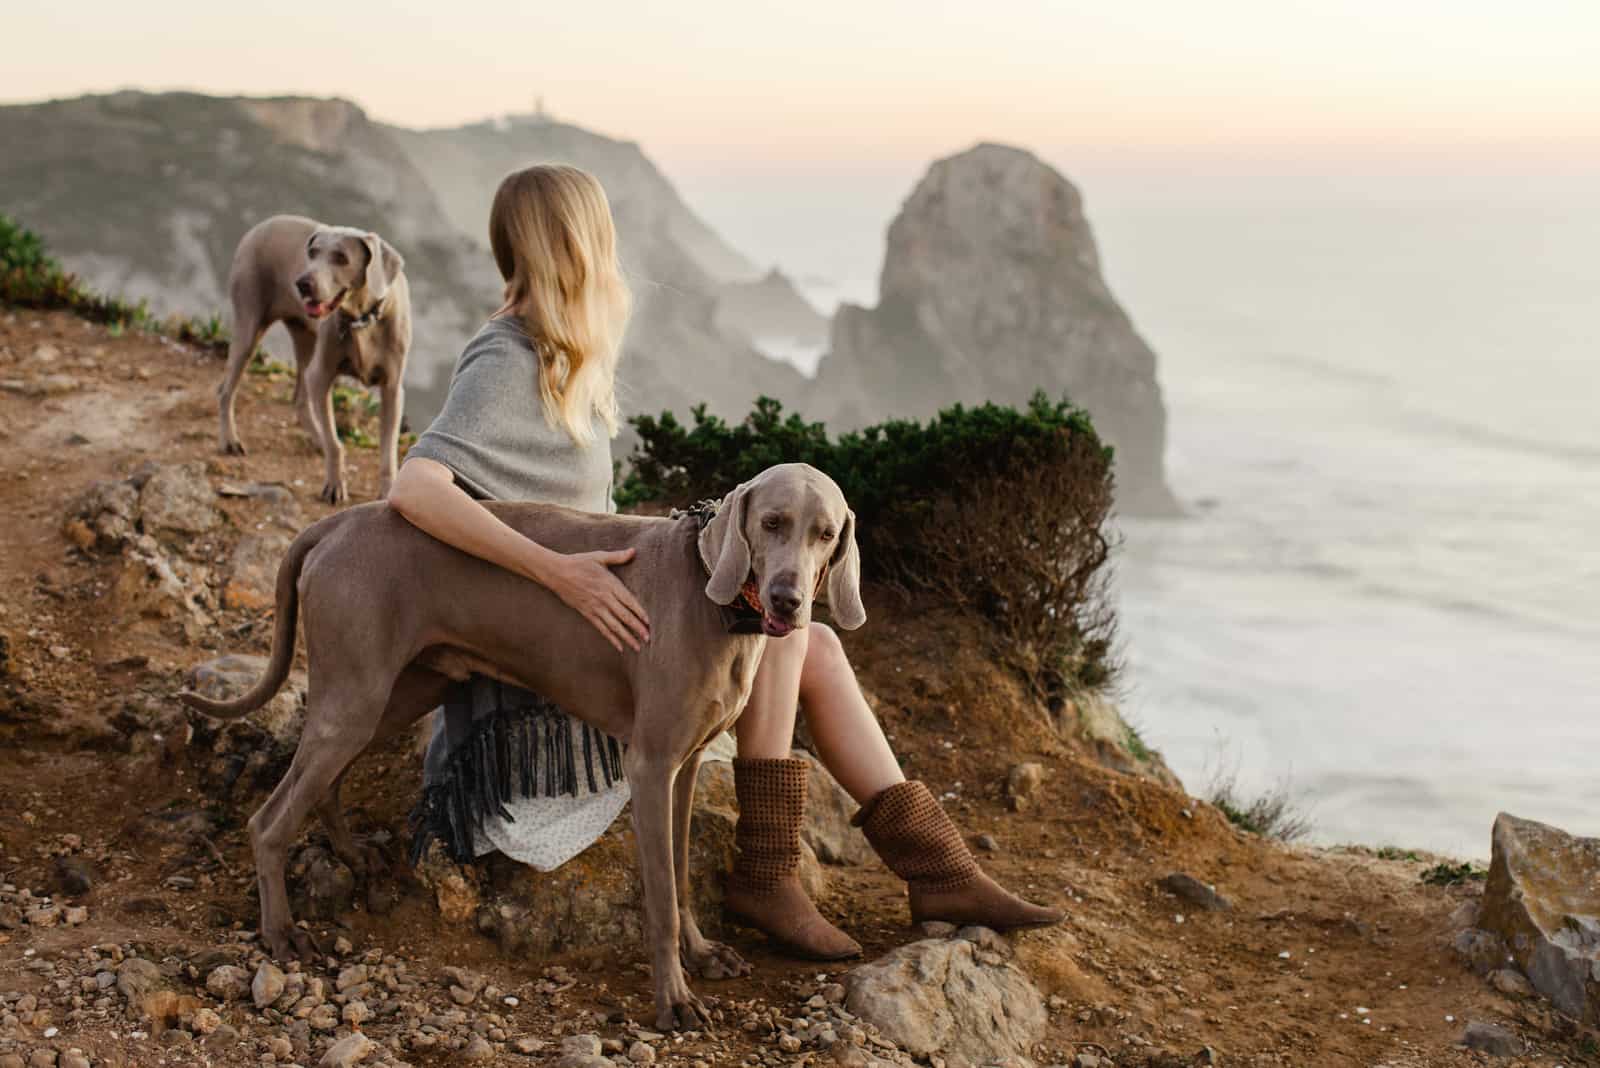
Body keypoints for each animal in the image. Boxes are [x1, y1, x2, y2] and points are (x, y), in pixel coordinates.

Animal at [178, 463, 864, 1029]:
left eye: (826, 534)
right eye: (772, 523)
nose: (787, 600)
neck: (711, 593)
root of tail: (336, 522)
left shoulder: (686, 766)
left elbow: (681, 880)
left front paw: (701, 955)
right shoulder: (649, 766)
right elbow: (662, 899)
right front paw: (674, 1000)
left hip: (393, 691)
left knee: (326, 780)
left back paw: (353, 855)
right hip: (357, 692)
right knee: (269, 820)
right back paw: (282, 934)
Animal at [214, 214, 409, 508]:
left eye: (341, 257)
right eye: (313, 253)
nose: (302, 283)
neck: (362, 320)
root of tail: (261, 225)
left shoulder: (393, 389)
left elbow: (387, 451)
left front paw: (387, 492)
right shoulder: (322, 375)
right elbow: (336, 445)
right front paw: (335, 485)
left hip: (305, 336)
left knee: (300, 399)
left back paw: (316, 437)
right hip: (249, 325)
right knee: (227, 390)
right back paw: (230, 440)